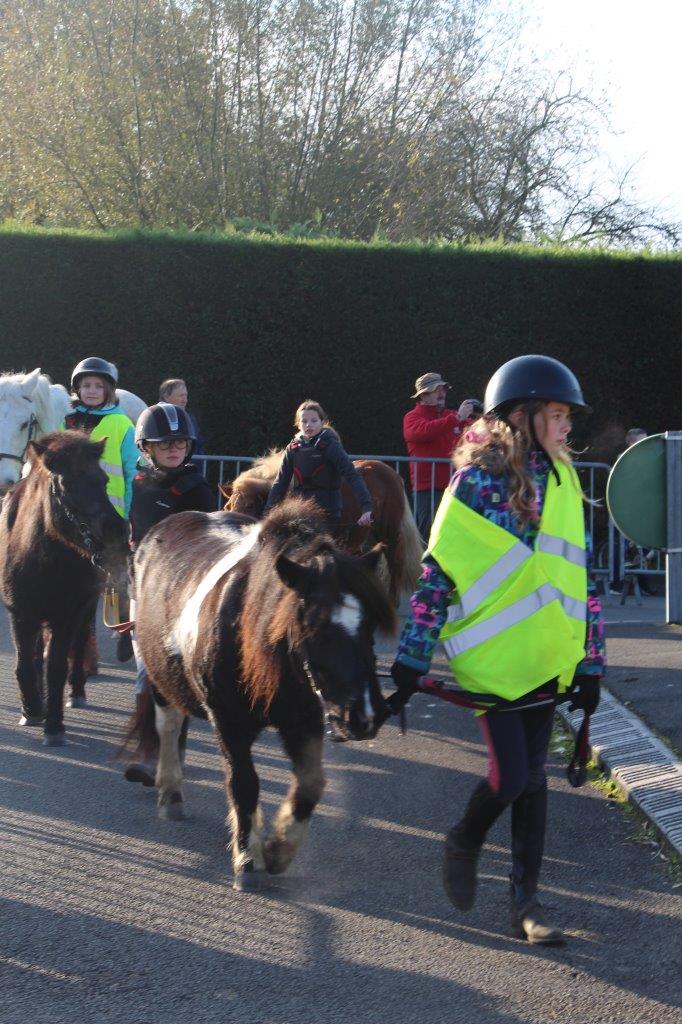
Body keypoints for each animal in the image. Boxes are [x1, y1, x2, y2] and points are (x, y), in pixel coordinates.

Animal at [0, 432, 126, 745]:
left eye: (103, 480)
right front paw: (32, 709)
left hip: (85, 608)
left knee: (78, 645)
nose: (116, 532)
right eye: (67, 484)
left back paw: (76, 692)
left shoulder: (66, 615)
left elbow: (57, 667)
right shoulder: (20, 613)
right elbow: (26, 664)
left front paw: (54, 726)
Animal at [124, 495, 395, 888]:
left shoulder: (304, 721)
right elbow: (244, 783)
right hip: (160, 678)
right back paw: (170, 794)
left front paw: (278, 850)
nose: (366, 716)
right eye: (312, 625)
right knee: (169, 727)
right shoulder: (228, 723)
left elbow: (310, 784)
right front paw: (249, 860)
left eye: (371, 625)